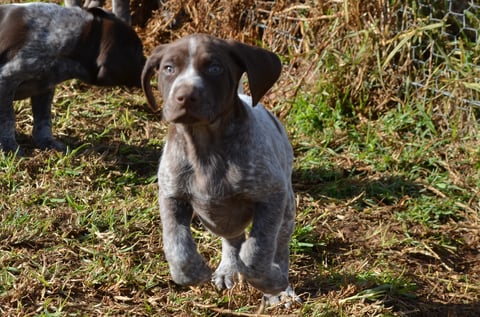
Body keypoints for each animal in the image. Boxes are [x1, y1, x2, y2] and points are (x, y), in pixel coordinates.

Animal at [0, 2, 145, 153]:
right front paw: (9, 147)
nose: (148, 65)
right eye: (138, 51)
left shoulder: (44, 87)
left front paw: (47, 142)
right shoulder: (6, 81)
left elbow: (43, 119)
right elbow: (8, 118)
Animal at [142, 34, 298, 304]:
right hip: (218, 219)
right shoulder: (171, 196)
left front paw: (271, 282)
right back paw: (228, 268)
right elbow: (177, 246)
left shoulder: (271, 197)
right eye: (169, 68)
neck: (205, 148)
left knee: (279, 247)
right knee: (232, 237)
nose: (185, 96)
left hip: (287, 208)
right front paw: (193, 273)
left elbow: (256, 253)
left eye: (214, 68)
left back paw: (281, 288)